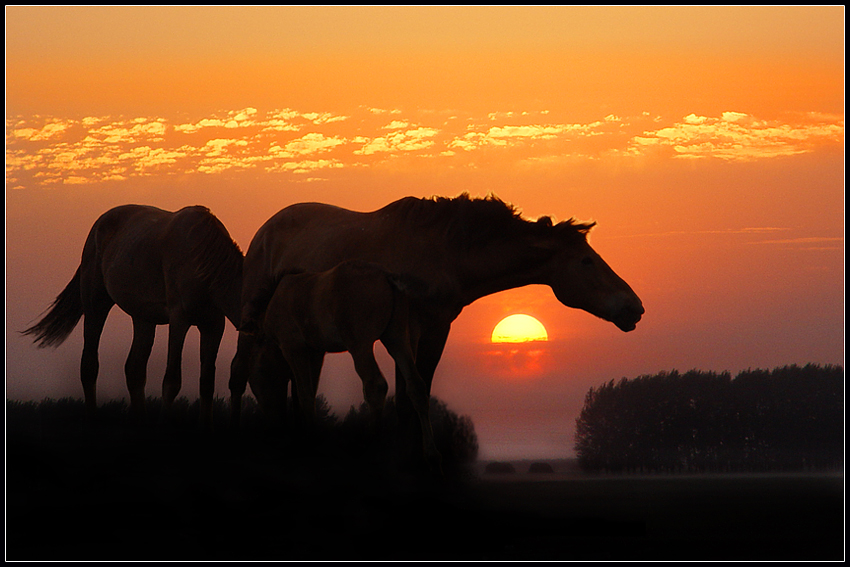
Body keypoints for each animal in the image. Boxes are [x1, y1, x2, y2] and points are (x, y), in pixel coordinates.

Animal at [23, 203, 242, 426]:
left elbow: (207, 383)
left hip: (143, 318)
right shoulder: (179, 320)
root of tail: (100, 223)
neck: (205, 261)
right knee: (89, 366)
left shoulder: (214, 325)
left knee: (134, 369)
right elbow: (172, 381)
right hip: (95, 306)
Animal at [229, 194, 640, 444]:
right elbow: (406, 394)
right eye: (586, 261)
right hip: (254, 323)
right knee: (239, 375)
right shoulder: (407, 330)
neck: (445, 251)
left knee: (292, 385)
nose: (634, 307)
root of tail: (264, 231)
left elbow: (416, 392)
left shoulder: (434, 329)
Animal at [258, 260, 440, 470]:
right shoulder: (315, 351)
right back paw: (432, 456)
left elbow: (304, 394)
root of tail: (387, 276)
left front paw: (310, 441)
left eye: (261, 378)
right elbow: (308, 392)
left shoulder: (293, 347)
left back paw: (364, 447)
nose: (271, 427)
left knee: (375, 385)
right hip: (397, 338)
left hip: (360, 345)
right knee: (416, 386)